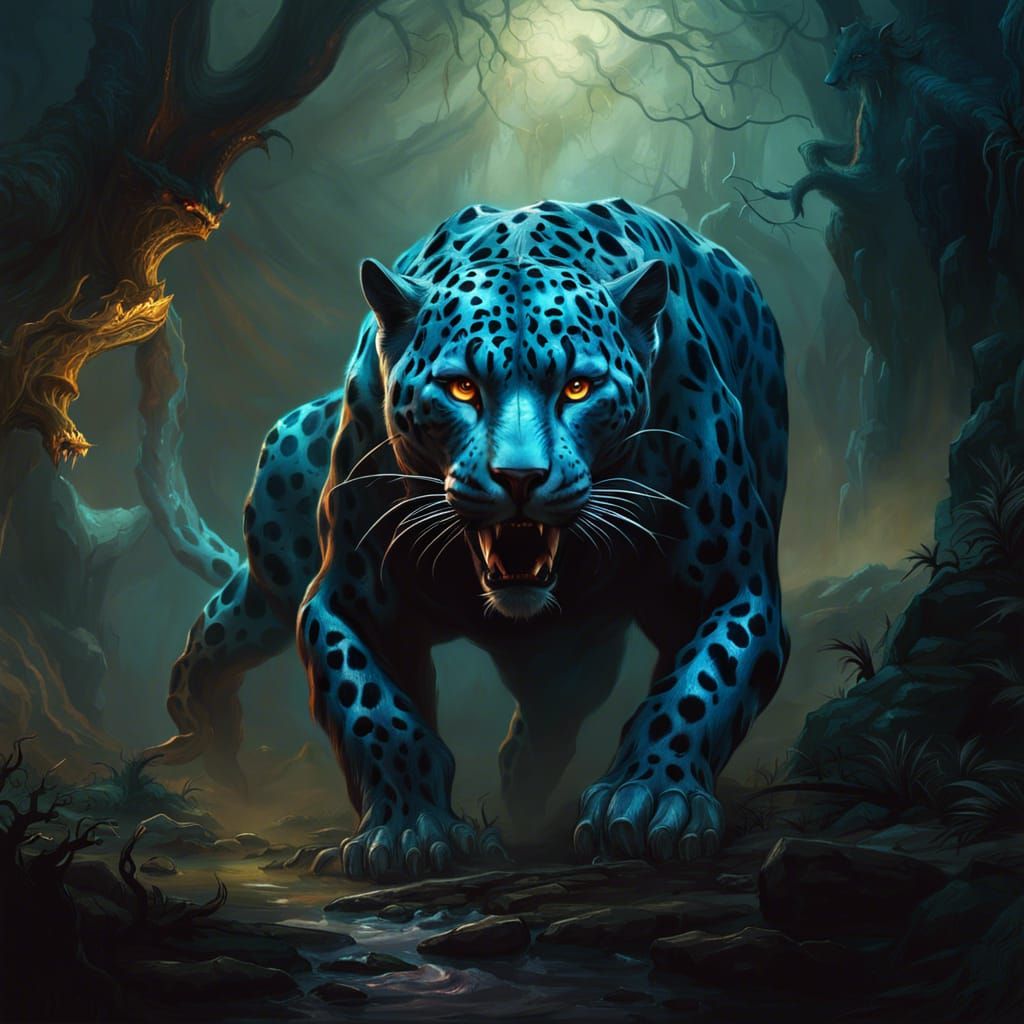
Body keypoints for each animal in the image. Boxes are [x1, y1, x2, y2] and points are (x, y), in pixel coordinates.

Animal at [147, 197, 790, 880]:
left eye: (578, 387)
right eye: (461, 387)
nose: (520, 477)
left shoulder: (735, 585)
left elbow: (700, 686)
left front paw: (648, 800)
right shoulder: (346, 597)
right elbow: (372, 708)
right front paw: (408, 830)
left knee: (555, 716)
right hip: (285, 518)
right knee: (233, 618)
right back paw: (205, 733)